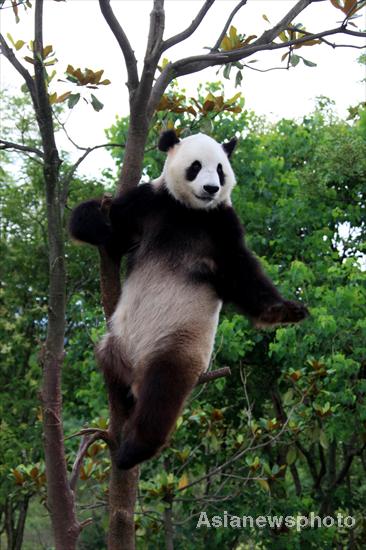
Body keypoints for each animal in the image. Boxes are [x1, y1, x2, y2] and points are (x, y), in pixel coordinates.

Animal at [69, 129, 308, 470]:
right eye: (195, 166)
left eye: (220, 170)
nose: (211, 189)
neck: (190, 211)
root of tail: (135, 370)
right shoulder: (151, 203)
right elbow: (111, 227)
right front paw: (97, 223)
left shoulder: (221, 225)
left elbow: (240, 273)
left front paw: (286, 310)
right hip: (116, 343)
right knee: (107, 362)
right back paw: (121, 402)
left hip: (176, 346)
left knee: (162, 395)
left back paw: (132, 450)